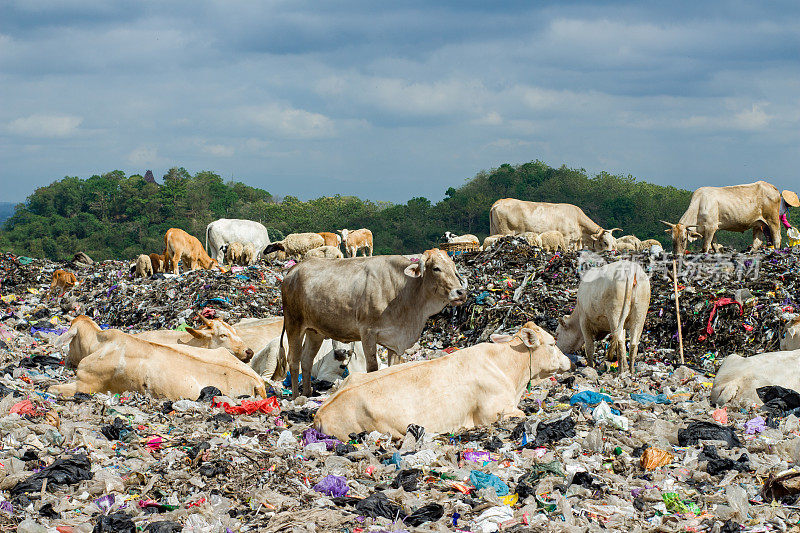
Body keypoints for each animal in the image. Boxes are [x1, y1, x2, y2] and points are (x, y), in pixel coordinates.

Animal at [50, 316, 268, 400]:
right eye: (223, 334)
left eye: (71, 341)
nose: (249, 352)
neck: (99, 344)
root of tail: (258, 381)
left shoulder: (85, 385)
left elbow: (52, 388)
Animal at [282, 248, 468, 394]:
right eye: (436, 268)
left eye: (454, 268)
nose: (461, 292)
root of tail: (292, 271)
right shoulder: (368, 333)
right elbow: (372, 368)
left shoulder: (394, 340)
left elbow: (392, 367)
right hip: (294, 325)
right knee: (294, 361)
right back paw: (296, 396)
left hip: (315, 332)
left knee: (306, 360)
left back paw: (307, 393)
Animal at [488, 197, 624, 251]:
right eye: (605, 242)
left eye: (614, 243)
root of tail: (500, 202)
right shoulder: (566, 239)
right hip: (506, 231)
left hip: (494, 232)